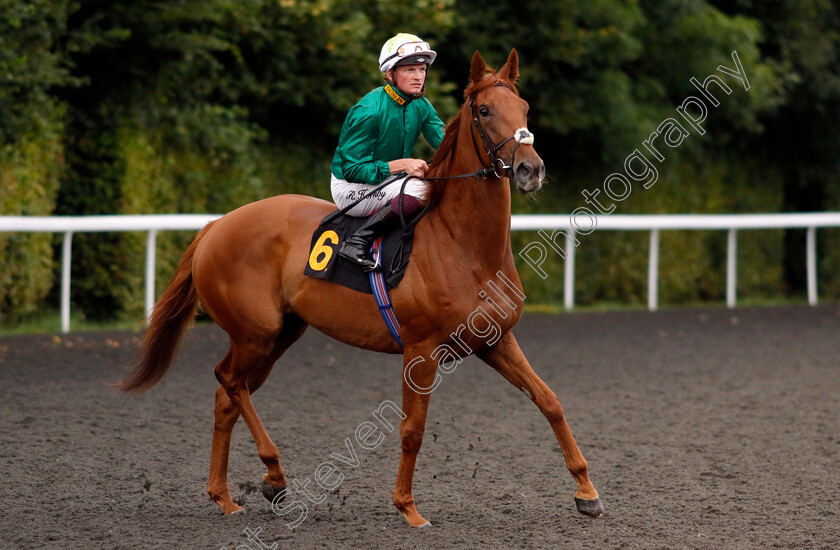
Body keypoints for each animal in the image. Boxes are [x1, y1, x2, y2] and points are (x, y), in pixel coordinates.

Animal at [118, 49, 604, 528]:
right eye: (484, 110)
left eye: (524, 108)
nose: (530, 169)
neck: (463, 246)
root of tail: (217, 226)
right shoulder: (421, 350)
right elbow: (412, 429)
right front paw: (407, 507)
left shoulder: (496, 340)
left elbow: (549, 400)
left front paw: (587, 493)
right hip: (255, 333)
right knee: (230, 384)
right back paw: (274, 475)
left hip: (281, 334)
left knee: (227, 394)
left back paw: (226, 495)